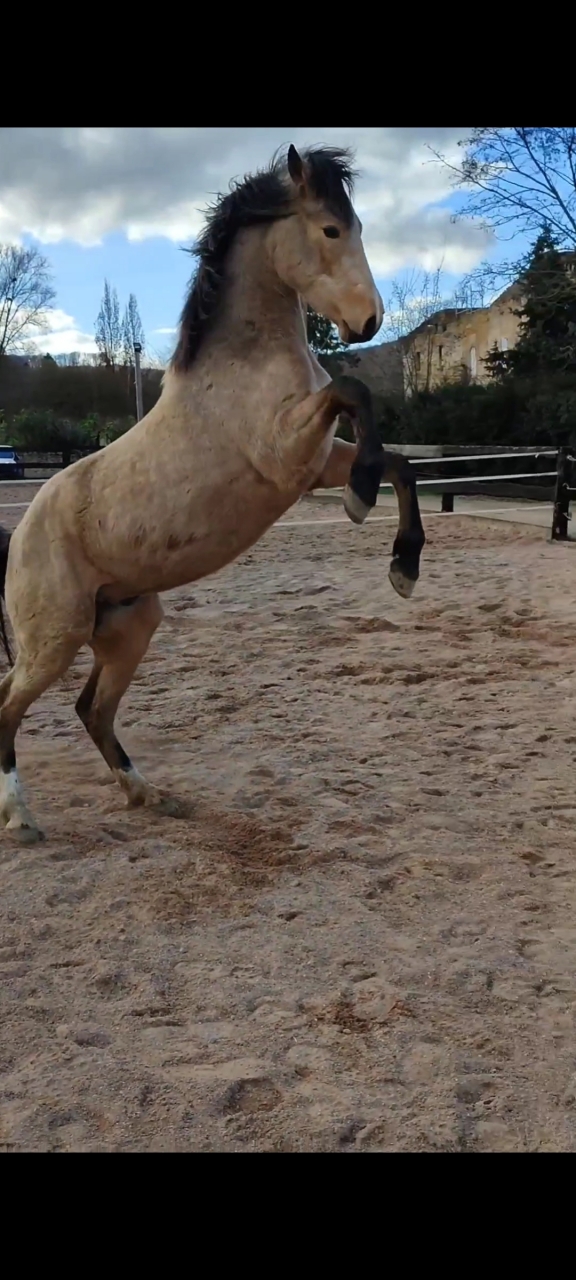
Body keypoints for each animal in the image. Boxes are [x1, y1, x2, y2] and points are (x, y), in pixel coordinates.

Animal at [0, 143, 425, 843]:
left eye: (357, 226)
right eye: (330, 229)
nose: (368, 323)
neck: (243, 362)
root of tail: (21, 534)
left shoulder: (314, 464)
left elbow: (398, 462)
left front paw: (403, 565)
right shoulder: (287, 453)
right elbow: (354, 394)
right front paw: (364, 502)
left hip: (128, 626)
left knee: (93, 709)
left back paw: (147, 794)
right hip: (54, 640)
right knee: (10, 706)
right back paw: (21, 818)